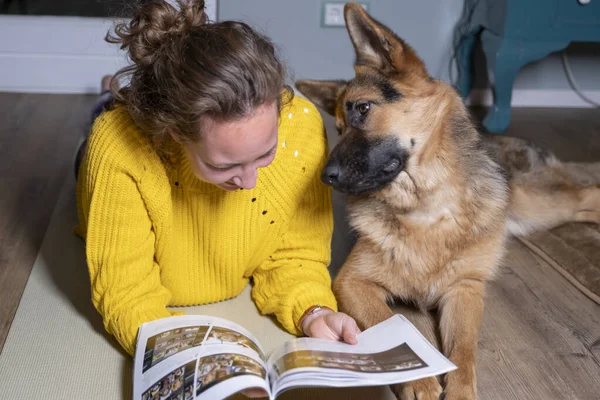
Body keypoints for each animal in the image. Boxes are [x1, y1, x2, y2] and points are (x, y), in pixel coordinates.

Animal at [296, 3, 600, 400]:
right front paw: (419, 380)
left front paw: (459, 389)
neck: (425, 207)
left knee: (587, 192)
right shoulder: (352, 282)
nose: (325, 177)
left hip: (538, 205)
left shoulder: (465, 289)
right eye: (339, 129)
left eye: (363, 109)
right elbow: (391, 322)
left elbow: (465, 348)